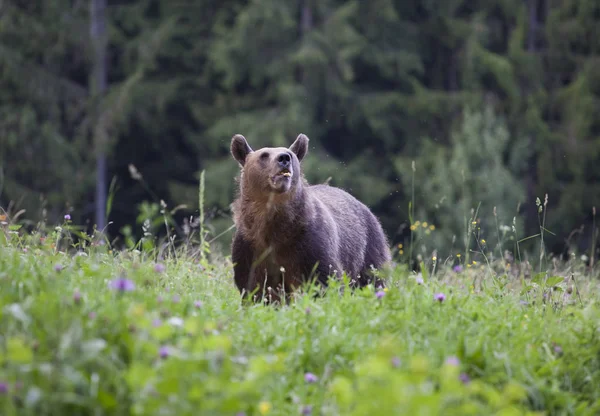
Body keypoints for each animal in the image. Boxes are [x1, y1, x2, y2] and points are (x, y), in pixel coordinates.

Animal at [229, 135, 390, 304]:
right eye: (264, 155)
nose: (284, 158)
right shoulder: (251, 248)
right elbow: (257, 289)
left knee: (372, 279)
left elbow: (325, 279)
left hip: (368, 247)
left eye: (289, 154)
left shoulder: (311, 242)